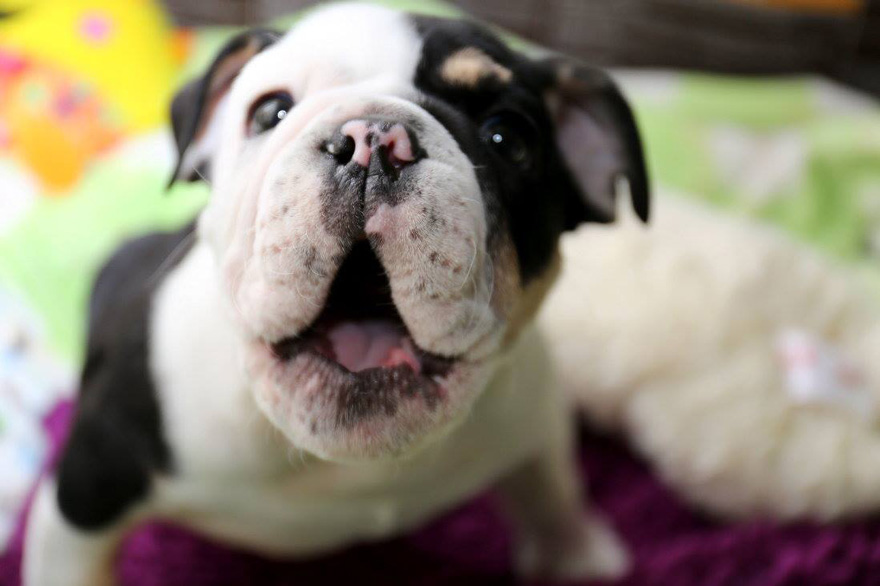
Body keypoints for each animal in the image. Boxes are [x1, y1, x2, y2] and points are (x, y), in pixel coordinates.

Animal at [24, 5, 648, 584]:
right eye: (269, 112)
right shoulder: (85, 495)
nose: (373, 138)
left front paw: (575, 551)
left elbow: (552, 481)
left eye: (508, 138)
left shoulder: (535, 409)